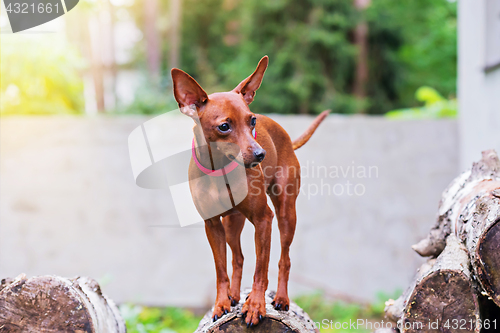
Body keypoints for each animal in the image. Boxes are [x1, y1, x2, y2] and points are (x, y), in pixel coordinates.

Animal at [171, 55, 328, 326]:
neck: (219, 171)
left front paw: (255, 305)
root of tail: (287, 138)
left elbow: (260, 269)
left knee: (284, 259)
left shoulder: (264, 219)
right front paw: (221, 302)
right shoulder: (213, 225)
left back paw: (282, 298)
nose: (260, 154)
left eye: (252, 120)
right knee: (238, 258)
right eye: (224, 126)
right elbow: (221, 270)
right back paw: (234, 295)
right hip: (232, 224)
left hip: (286, 214)